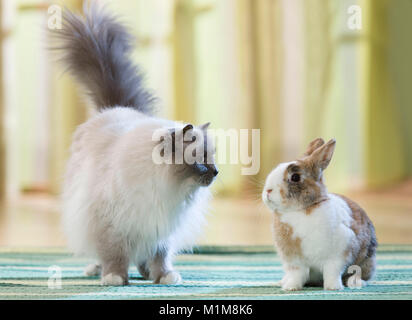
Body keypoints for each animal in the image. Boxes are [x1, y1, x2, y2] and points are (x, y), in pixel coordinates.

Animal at [55, 3, 219, 284]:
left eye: (213, 160)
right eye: (201, 163)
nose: (216, 172)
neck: (165, 190)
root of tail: (114, 107)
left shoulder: (160, 227)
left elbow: (160, 255)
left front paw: (164, 277)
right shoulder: (112, 225)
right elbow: (114, 256)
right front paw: (114, 278)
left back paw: (145, 273)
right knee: (100, 253)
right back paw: (96, 270)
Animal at [264, 138, 376, 290]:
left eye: (295, 177)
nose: (268, 191)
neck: (300, 210)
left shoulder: (338, 254)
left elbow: (331, 272)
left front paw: (333, 288)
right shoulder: (294, 260)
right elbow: (296, 274)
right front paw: (291, 288)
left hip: (366, 258)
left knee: (360, 273)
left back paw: (356, 282)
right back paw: (282, 282)